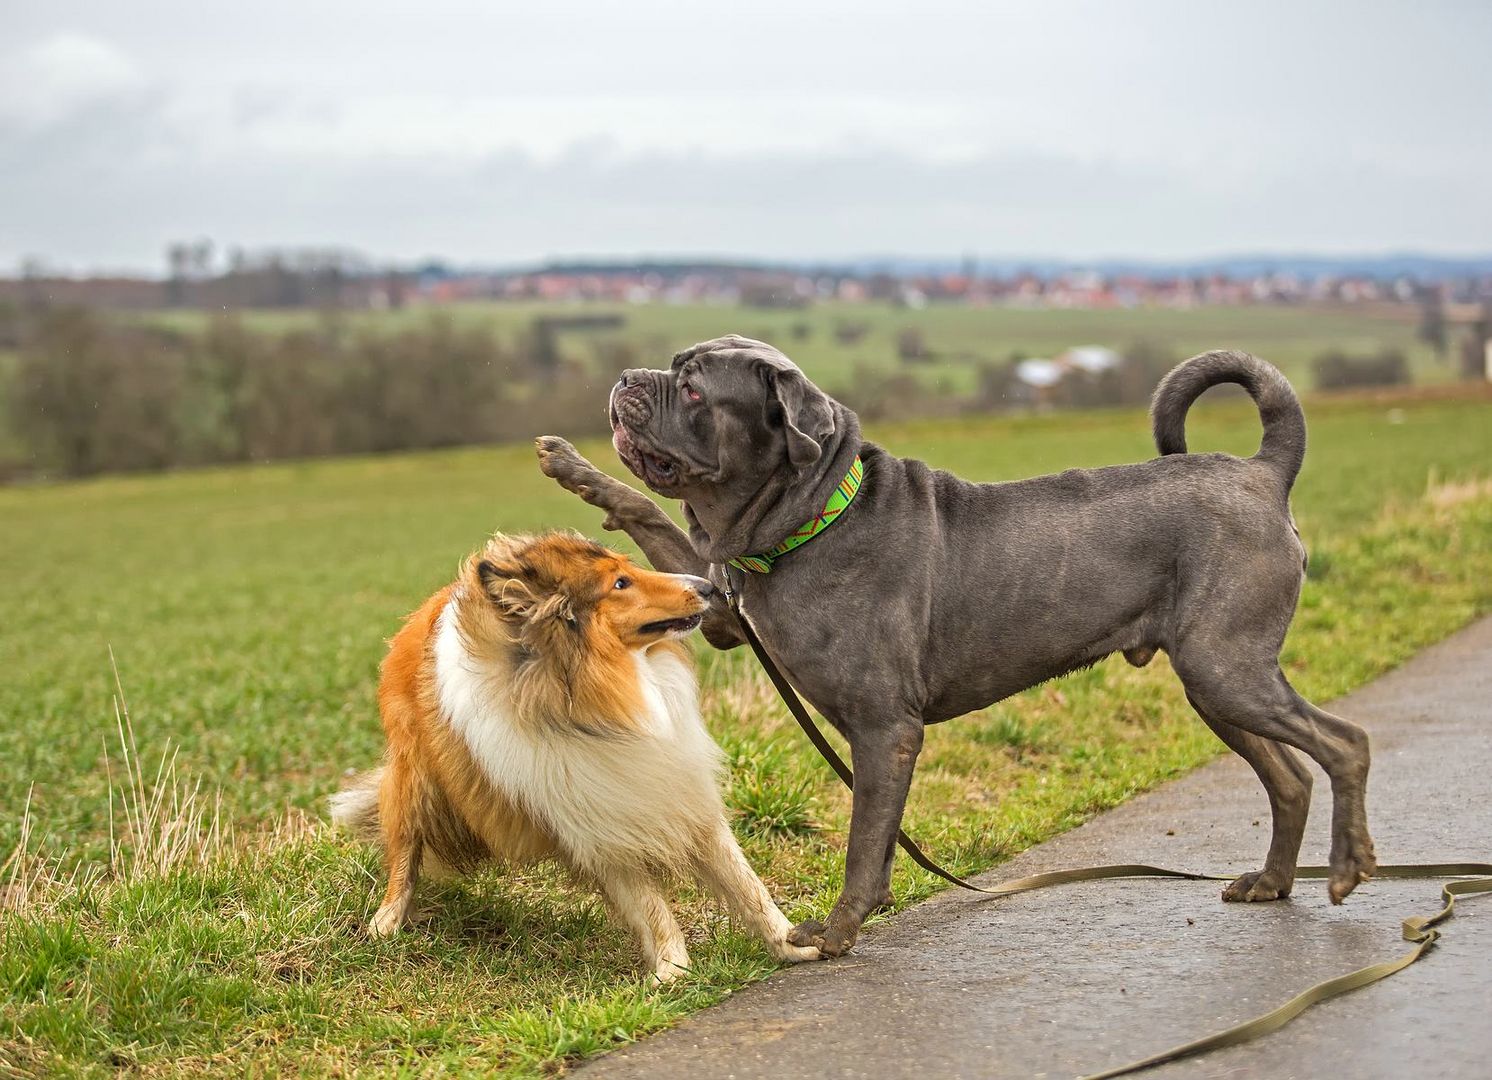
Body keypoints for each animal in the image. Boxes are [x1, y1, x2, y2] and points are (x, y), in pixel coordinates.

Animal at [534, 335, 1372, 954]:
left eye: (695, 389)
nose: (626, 378)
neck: (809, 518)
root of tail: (1264, 473)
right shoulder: (725, 614)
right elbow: (651, 516)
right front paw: (575, 470)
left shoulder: (885, 727)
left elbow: (863, 837)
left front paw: (837, 931)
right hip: (1214, 683)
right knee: (1290, 776)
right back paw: (1271, 882)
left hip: (1227, 667)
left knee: (1345, 743)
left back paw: (1348, 867)